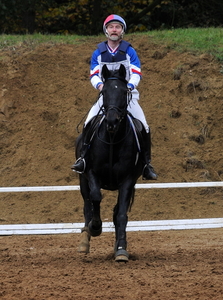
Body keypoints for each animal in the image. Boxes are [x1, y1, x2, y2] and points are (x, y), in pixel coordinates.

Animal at [76, 64, 145, 262]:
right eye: (104, 92)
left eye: (123, 92)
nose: (112, 121)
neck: (113, 139)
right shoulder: (91, 174)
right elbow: (96, 198)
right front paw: (95, 227)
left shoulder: (128, 180)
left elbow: (121, 214)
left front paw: (121, 249)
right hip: (82, 180)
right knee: (87, 206)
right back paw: (85, 240)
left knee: (116, 212)